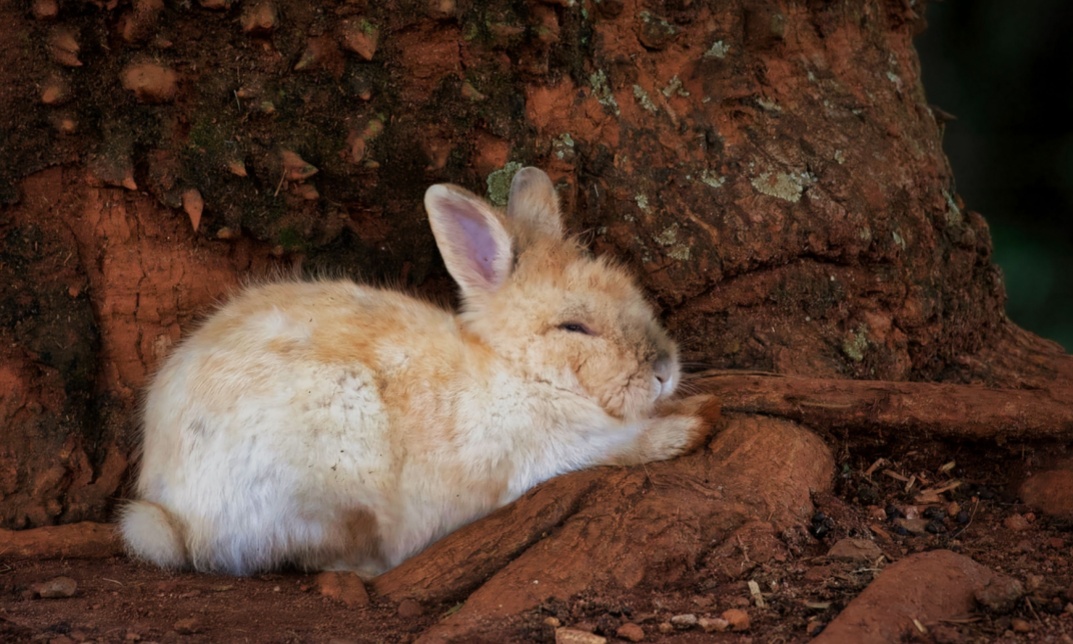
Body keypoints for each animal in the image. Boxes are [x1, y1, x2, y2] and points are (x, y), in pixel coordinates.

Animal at [119, 167, 721, 579]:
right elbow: (620, 448)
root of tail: (170, 515)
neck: (515, 370)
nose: (665, 370)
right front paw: (693, 425)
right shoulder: (542, 454)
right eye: (574, 327)